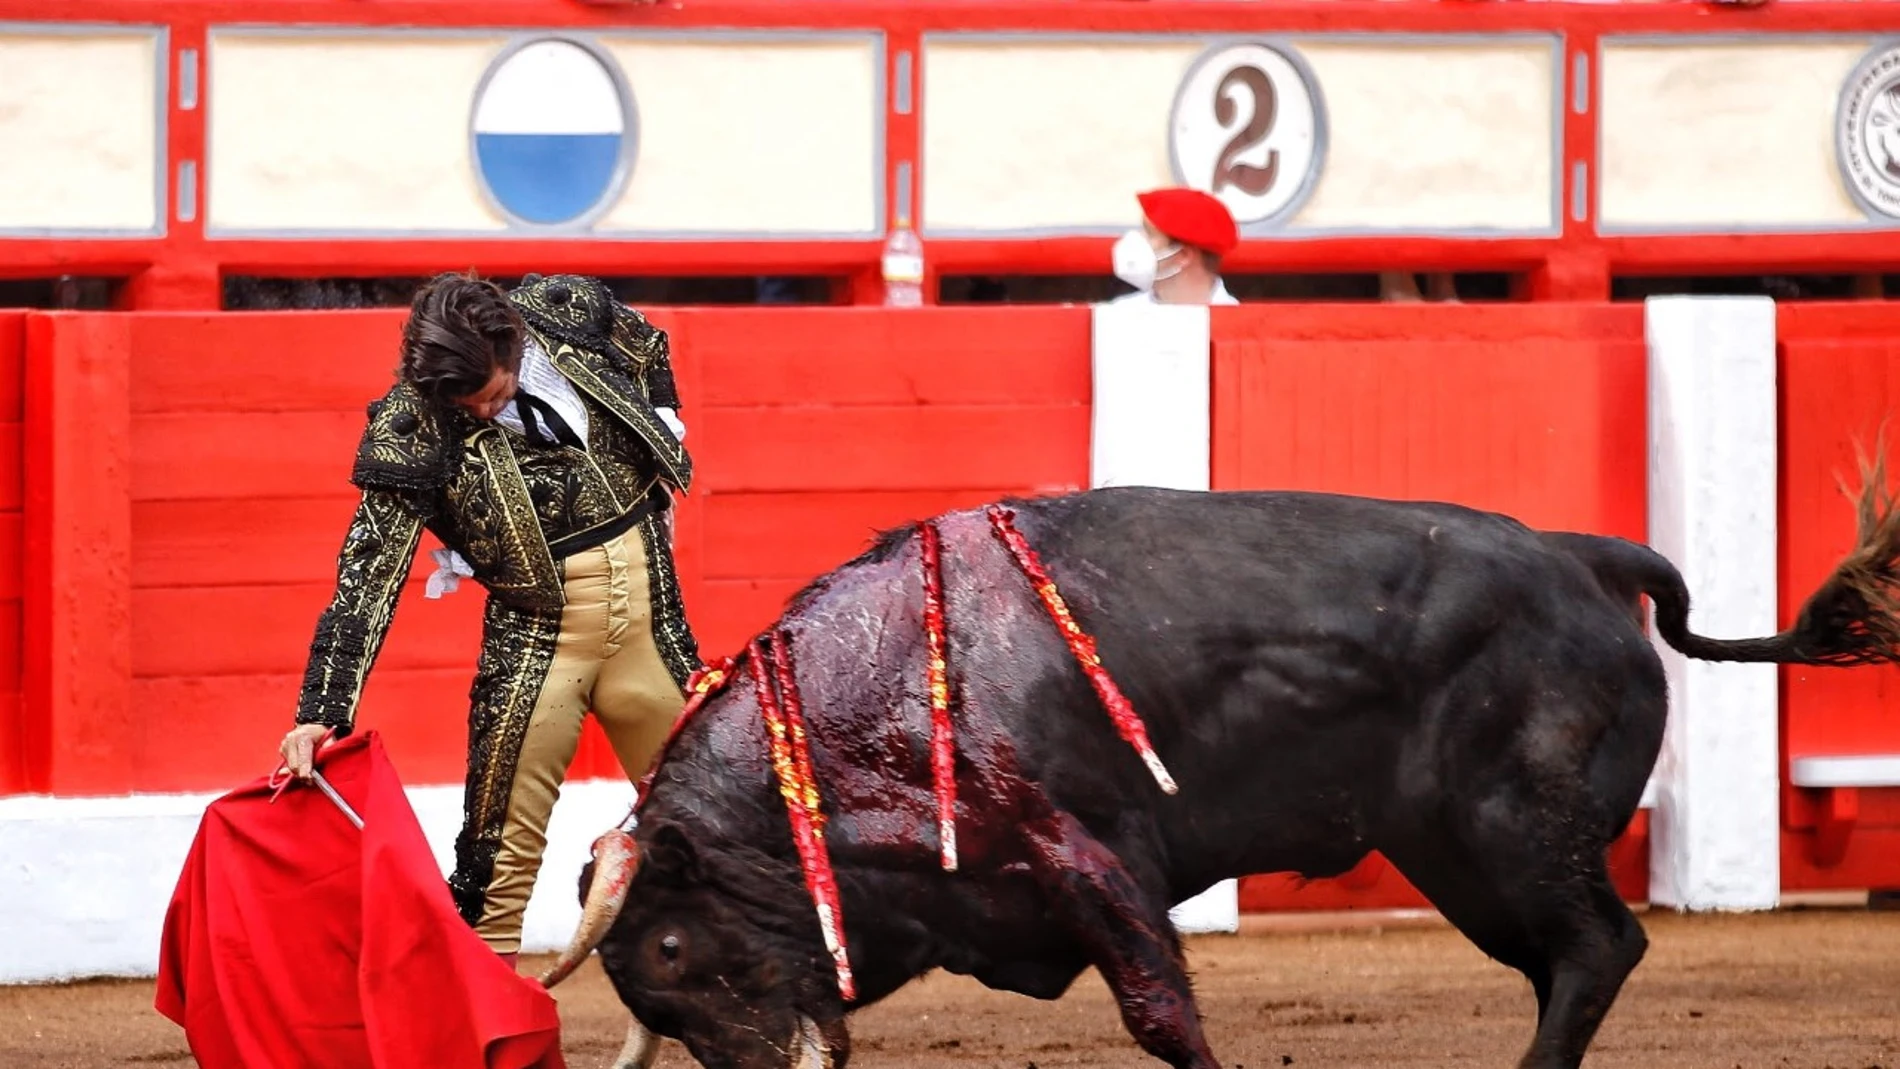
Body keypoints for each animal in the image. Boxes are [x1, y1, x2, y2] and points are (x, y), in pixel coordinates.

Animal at [535, 478, 1900, 1069]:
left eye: (670, 950)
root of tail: (1580, 555)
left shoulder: (1089, 853)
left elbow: (1161, 1013)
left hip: (1514, 827)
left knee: (1598, 947)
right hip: (1456, 853)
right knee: (1567, 959)